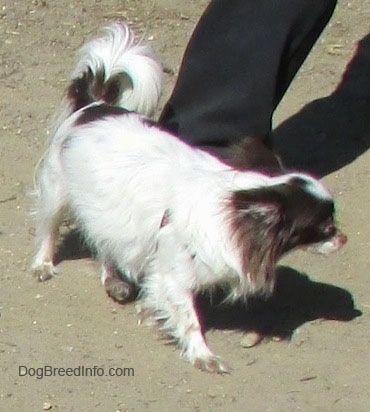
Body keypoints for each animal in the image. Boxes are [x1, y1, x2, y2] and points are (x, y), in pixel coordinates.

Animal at [31, 24, 346, 374]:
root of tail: (93, 106)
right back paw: (43, 264)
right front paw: (202, 354)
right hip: (57, 192)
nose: (343, 238)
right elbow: (191, 320)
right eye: (325, 227)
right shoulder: (175, 277)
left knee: (104, 245)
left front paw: (151, 312)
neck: (234, 205)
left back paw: (114, 279)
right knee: (49, 230)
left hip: (108, 211)